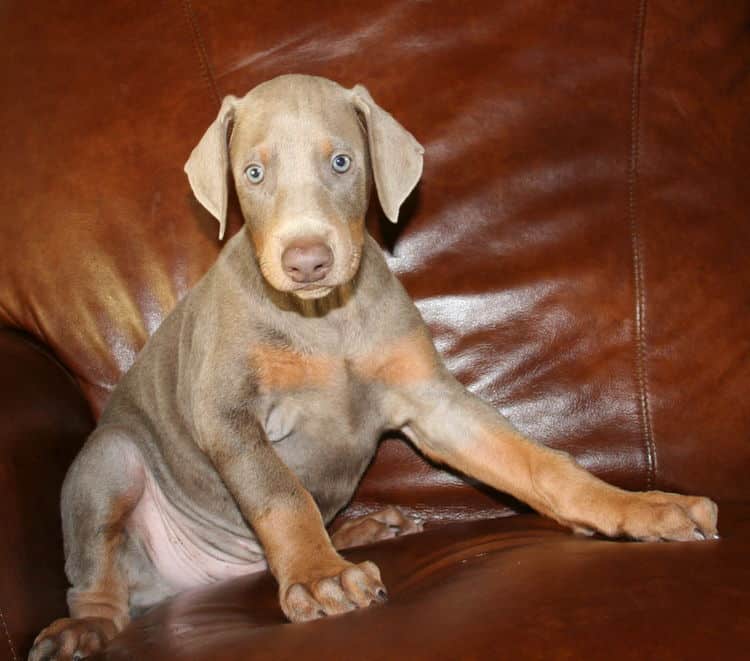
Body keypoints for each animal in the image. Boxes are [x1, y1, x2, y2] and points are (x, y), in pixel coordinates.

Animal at [29, 75, 720, 656]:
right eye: (253, 173)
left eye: (342, 162)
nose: (307, 260)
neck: (323, 317)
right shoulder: (226, 413)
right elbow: (282, 494)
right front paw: (318, 577)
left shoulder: (433, 405)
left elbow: (535, 461)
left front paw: (638, 507)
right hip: (110, 461)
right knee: (95, 579)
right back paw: (86, 627)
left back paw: (361, 527)